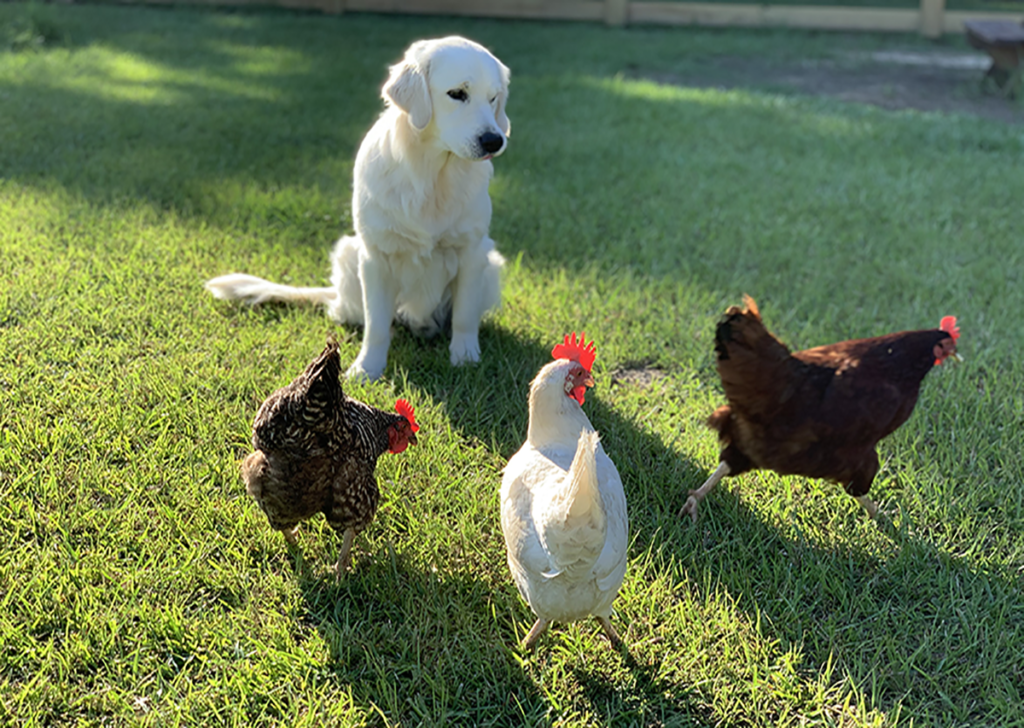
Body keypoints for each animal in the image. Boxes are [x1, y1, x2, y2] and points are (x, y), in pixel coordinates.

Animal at [205, 37, 509, 380]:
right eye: (457, 93)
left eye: (493, 98)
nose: (494, 140)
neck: (431, 175)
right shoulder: (376, 257)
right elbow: (376, 324)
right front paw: (366, 368)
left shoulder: (472, 251)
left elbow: (464, 316)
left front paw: (465, 357)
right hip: (350, 253)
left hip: (490, 265)